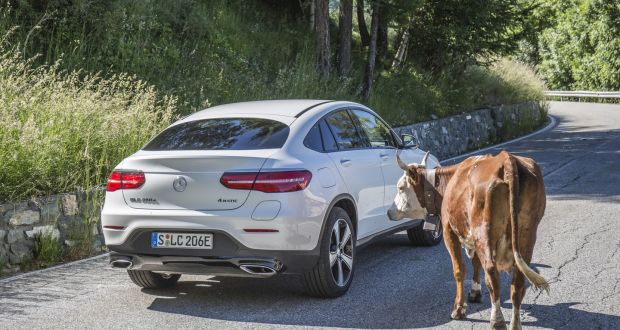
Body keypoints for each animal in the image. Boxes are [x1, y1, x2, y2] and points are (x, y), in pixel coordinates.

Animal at [390, 151, 548, 330]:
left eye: (400, 187)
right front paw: (475, 292)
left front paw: (459, 308)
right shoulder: (472, 237)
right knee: (518, 281)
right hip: (527, 233)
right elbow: (476, 263)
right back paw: (515, 324)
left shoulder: (448, 231)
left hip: (483, 232)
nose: (389, 212)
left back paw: (497, 322)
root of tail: (506, 158)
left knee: (492, 275)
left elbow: (459, 270)